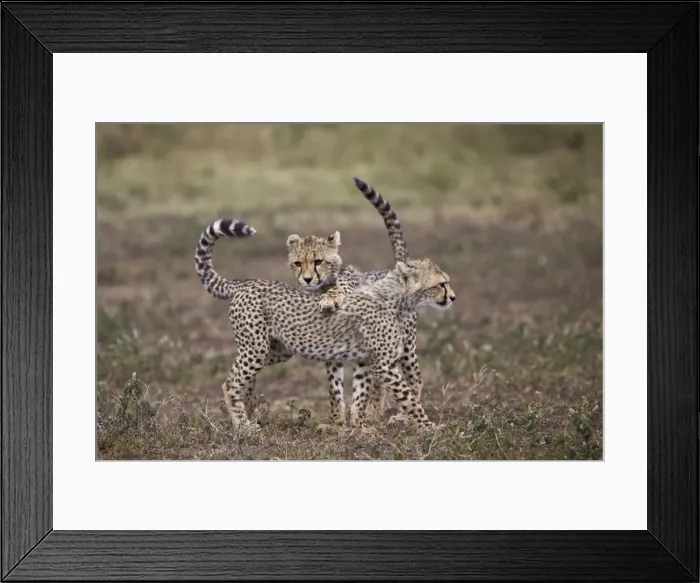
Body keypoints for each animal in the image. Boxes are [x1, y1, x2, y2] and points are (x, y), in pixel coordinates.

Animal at [193, 217, 456, 433]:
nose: (452, 297)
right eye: (441, 284)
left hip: (276, 350)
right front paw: (429, 427)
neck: (395, 298)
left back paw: (249, 405)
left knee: (241, 377)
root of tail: (245, 282)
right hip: (256, 348)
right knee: (229, 383)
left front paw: (358, 428)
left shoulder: (366, 360)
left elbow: (360, 394)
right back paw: (243, 425)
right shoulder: (383, 364)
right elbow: (408, 398)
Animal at [285, 176, 422, 427]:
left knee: (415, 378)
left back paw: (404, 416)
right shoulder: (331, 348)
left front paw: (356, 422)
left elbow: (361, 387)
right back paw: (376, 414)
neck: (324, 285)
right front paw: (336, 422)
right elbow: (334, 388)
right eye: (298, 263)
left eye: (318, 261)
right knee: (381, 382)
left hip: (406, 345)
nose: (307, 279)